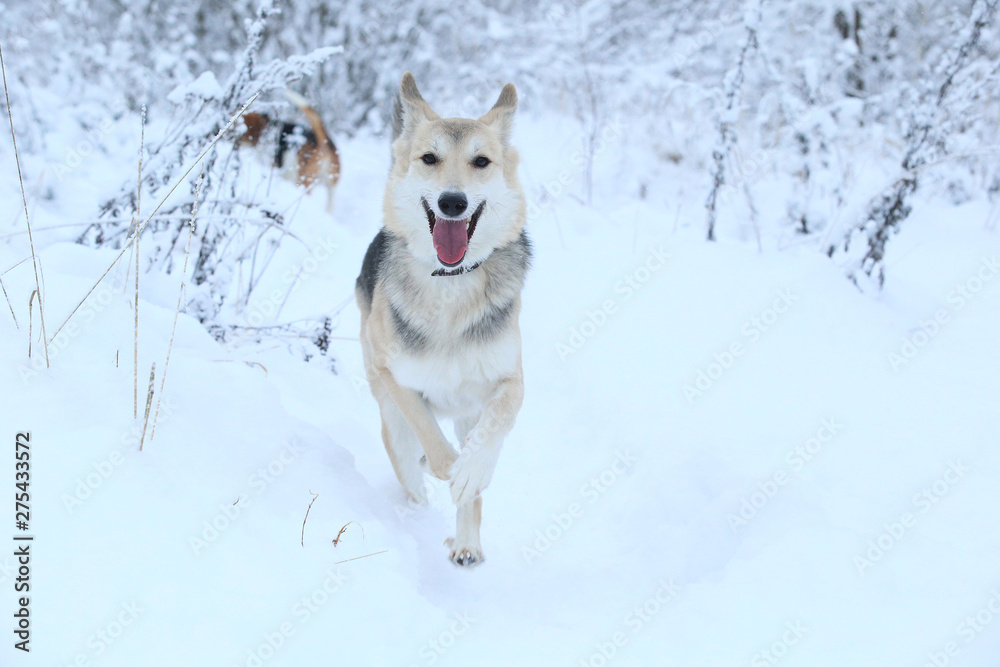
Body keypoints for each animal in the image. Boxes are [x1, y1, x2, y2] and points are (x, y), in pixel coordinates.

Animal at [360, 74, 532, 568]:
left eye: (481, 161)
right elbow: (433, 445)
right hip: (390, 416)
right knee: (408, 462)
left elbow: (495, 427)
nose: (452, 202)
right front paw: (451, 468)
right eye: (430, 158)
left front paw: (472, 472)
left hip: (465, 413)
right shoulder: (394, 375)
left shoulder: (510, 381)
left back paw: (467, 544)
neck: (451, 282)